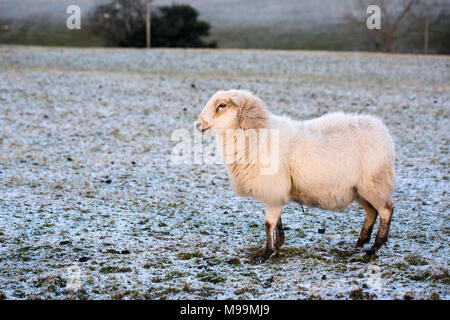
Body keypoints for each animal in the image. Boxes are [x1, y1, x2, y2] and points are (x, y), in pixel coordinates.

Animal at [197, 89, 394, 262]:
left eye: (222, 105)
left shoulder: (273, 187)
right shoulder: (275, 191)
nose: (198, 125)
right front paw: (279, 244)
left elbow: (268, 223)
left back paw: (375, 247)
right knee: (372, 212)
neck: (257, 134)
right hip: (359, 188)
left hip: (374, 182)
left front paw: (267, 253)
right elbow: (276, 221)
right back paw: (360, 242)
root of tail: (380, 129)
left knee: (386, 210)